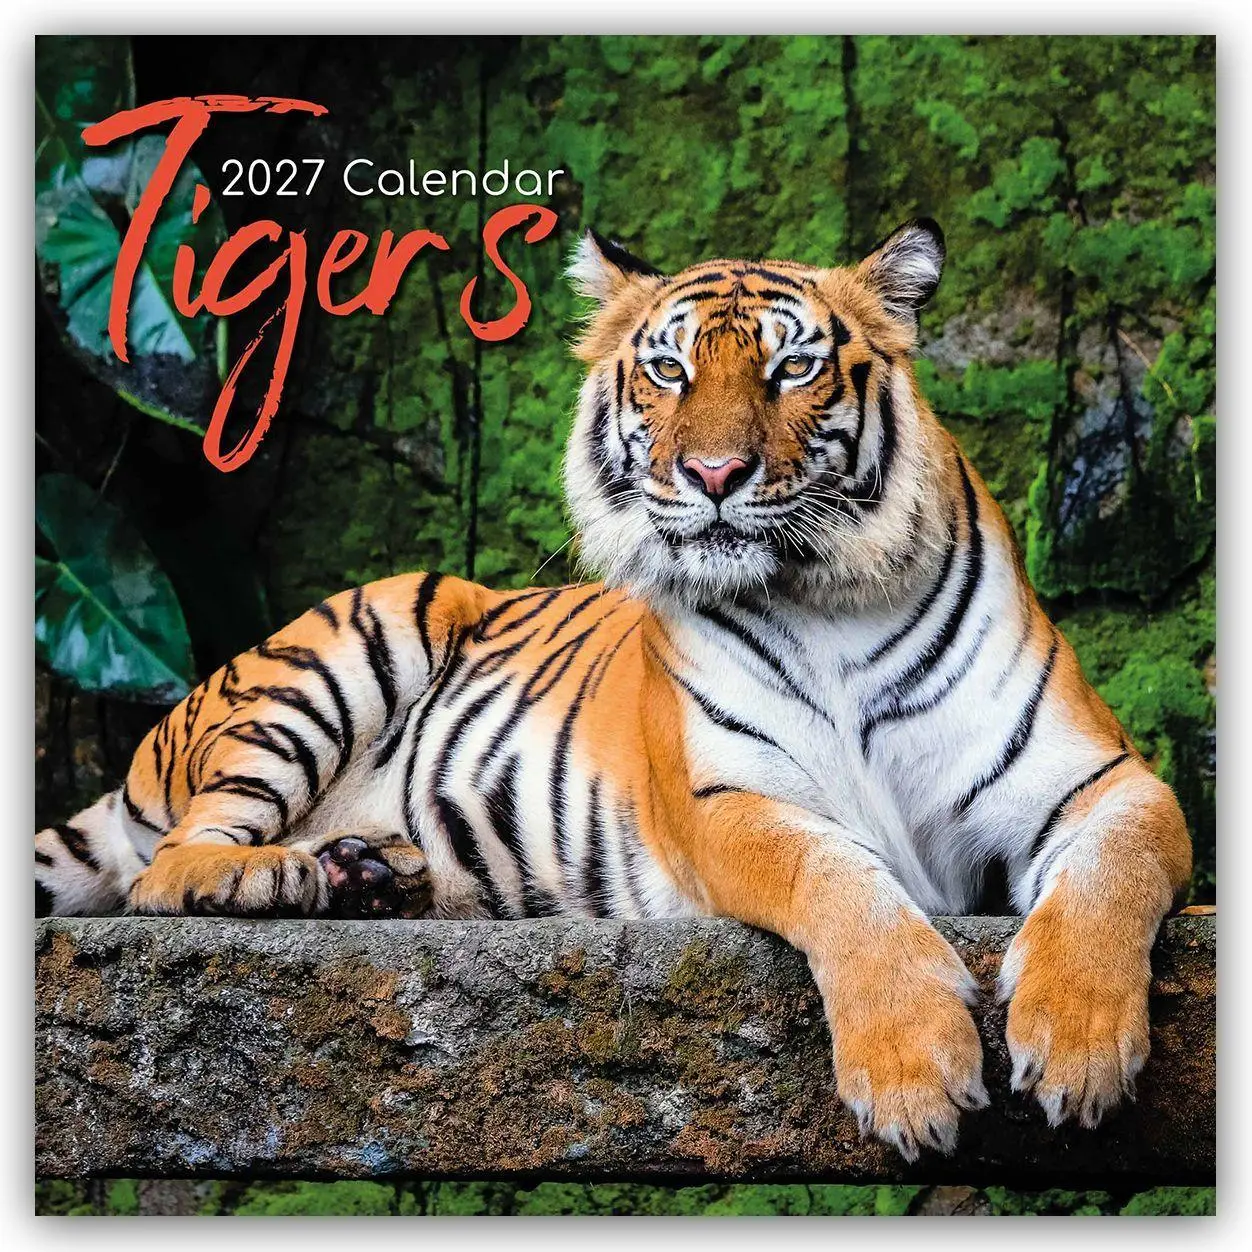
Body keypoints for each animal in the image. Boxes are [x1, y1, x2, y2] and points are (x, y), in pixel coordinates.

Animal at [35, 219, 1192, 1161]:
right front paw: (913, 1073)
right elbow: (839, 882)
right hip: (351, 643)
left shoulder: (1104, 780)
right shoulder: (726, 803)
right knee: (166, 869)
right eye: (671, 370)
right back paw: (273, 876)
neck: (827, 596)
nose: (714, 475)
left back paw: (368, 872)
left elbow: (1110, 877)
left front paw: (1081, 1048)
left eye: (794, 368)